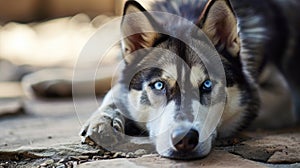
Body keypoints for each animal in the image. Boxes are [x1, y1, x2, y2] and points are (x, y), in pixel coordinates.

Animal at [80, 0, 300, 159]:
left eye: (207, 85)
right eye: (159, 85)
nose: (184, 139)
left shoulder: (282, 96)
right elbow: (115, 91)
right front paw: (104, 118)